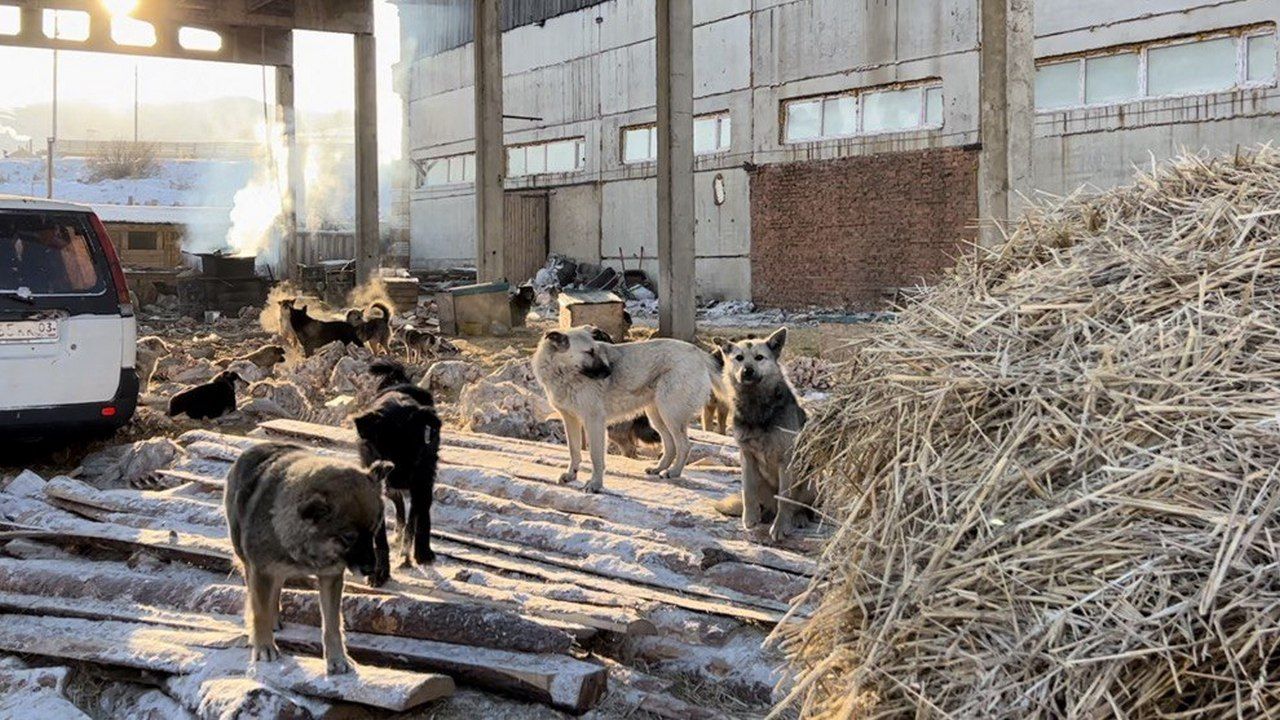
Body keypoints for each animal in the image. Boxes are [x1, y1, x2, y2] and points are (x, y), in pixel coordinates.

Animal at [353, 358, 442, 576]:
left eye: (416, 452)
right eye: (385, 453)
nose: (401, 481)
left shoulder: (421, 480)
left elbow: (418, 520)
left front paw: (417, 553)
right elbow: (380, 536)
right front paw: (381, 571)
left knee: (420, 511)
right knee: (399, 504)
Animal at [532, 326, 727, 489]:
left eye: (596, 350)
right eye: (589, 352)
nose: (609, 372)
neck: (564, 374)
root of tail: (698, 353)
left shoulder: (594, 421)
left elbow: (596, 456)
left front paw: (595, 484)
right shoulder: (570, 419)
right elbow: (574, 450)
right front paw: (571, 475)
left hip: (670, 414)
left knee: (684, 445)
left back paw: (673, 472)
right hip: (657, 416)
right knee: (670, 444)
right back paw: (659, 468)